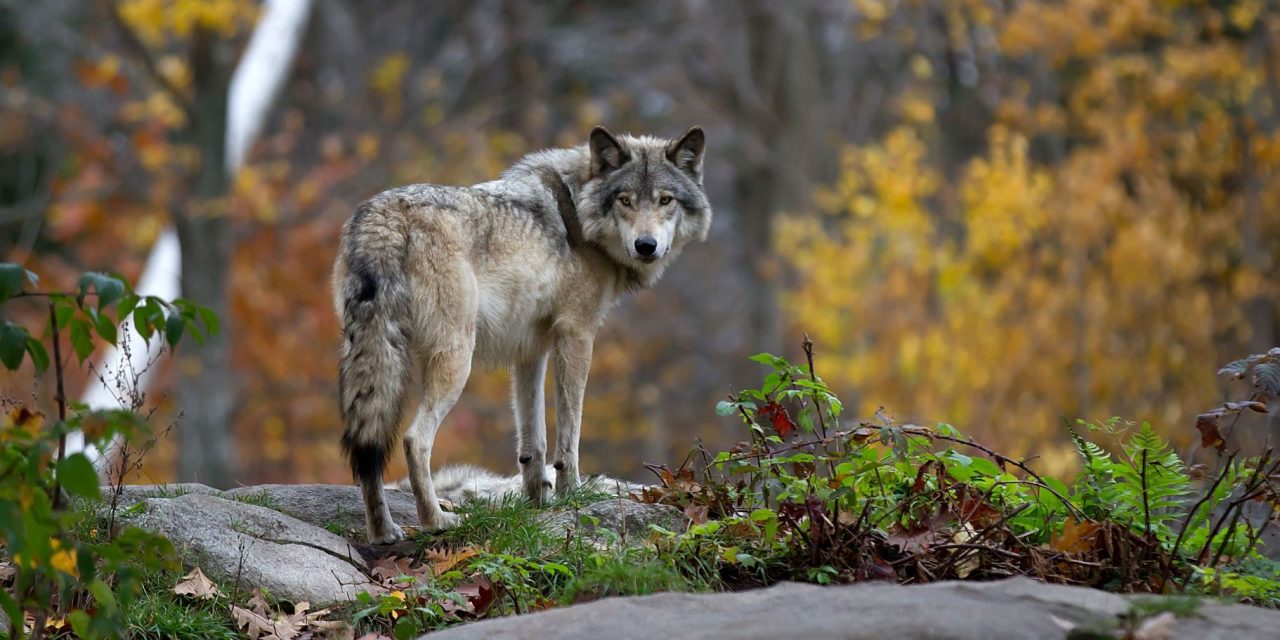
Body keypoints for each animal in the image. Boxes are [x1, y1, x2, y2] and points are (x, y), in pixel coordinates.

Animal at [334, 126, 711, 543]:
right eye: (625, 200)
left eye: (665, 200)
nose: (646, 246)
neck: (578, 212)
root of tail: (383, 217)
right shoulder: (577, 335)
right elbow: (569, 434)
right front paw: (570, 495)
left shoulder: (530, 350)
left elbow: (534, 440)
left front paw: (537, 502)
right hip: (456, 360)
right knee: (415, 439)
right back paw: (437, 521)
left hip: (371, 356)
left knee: (367, 447)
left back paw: (383, 532)